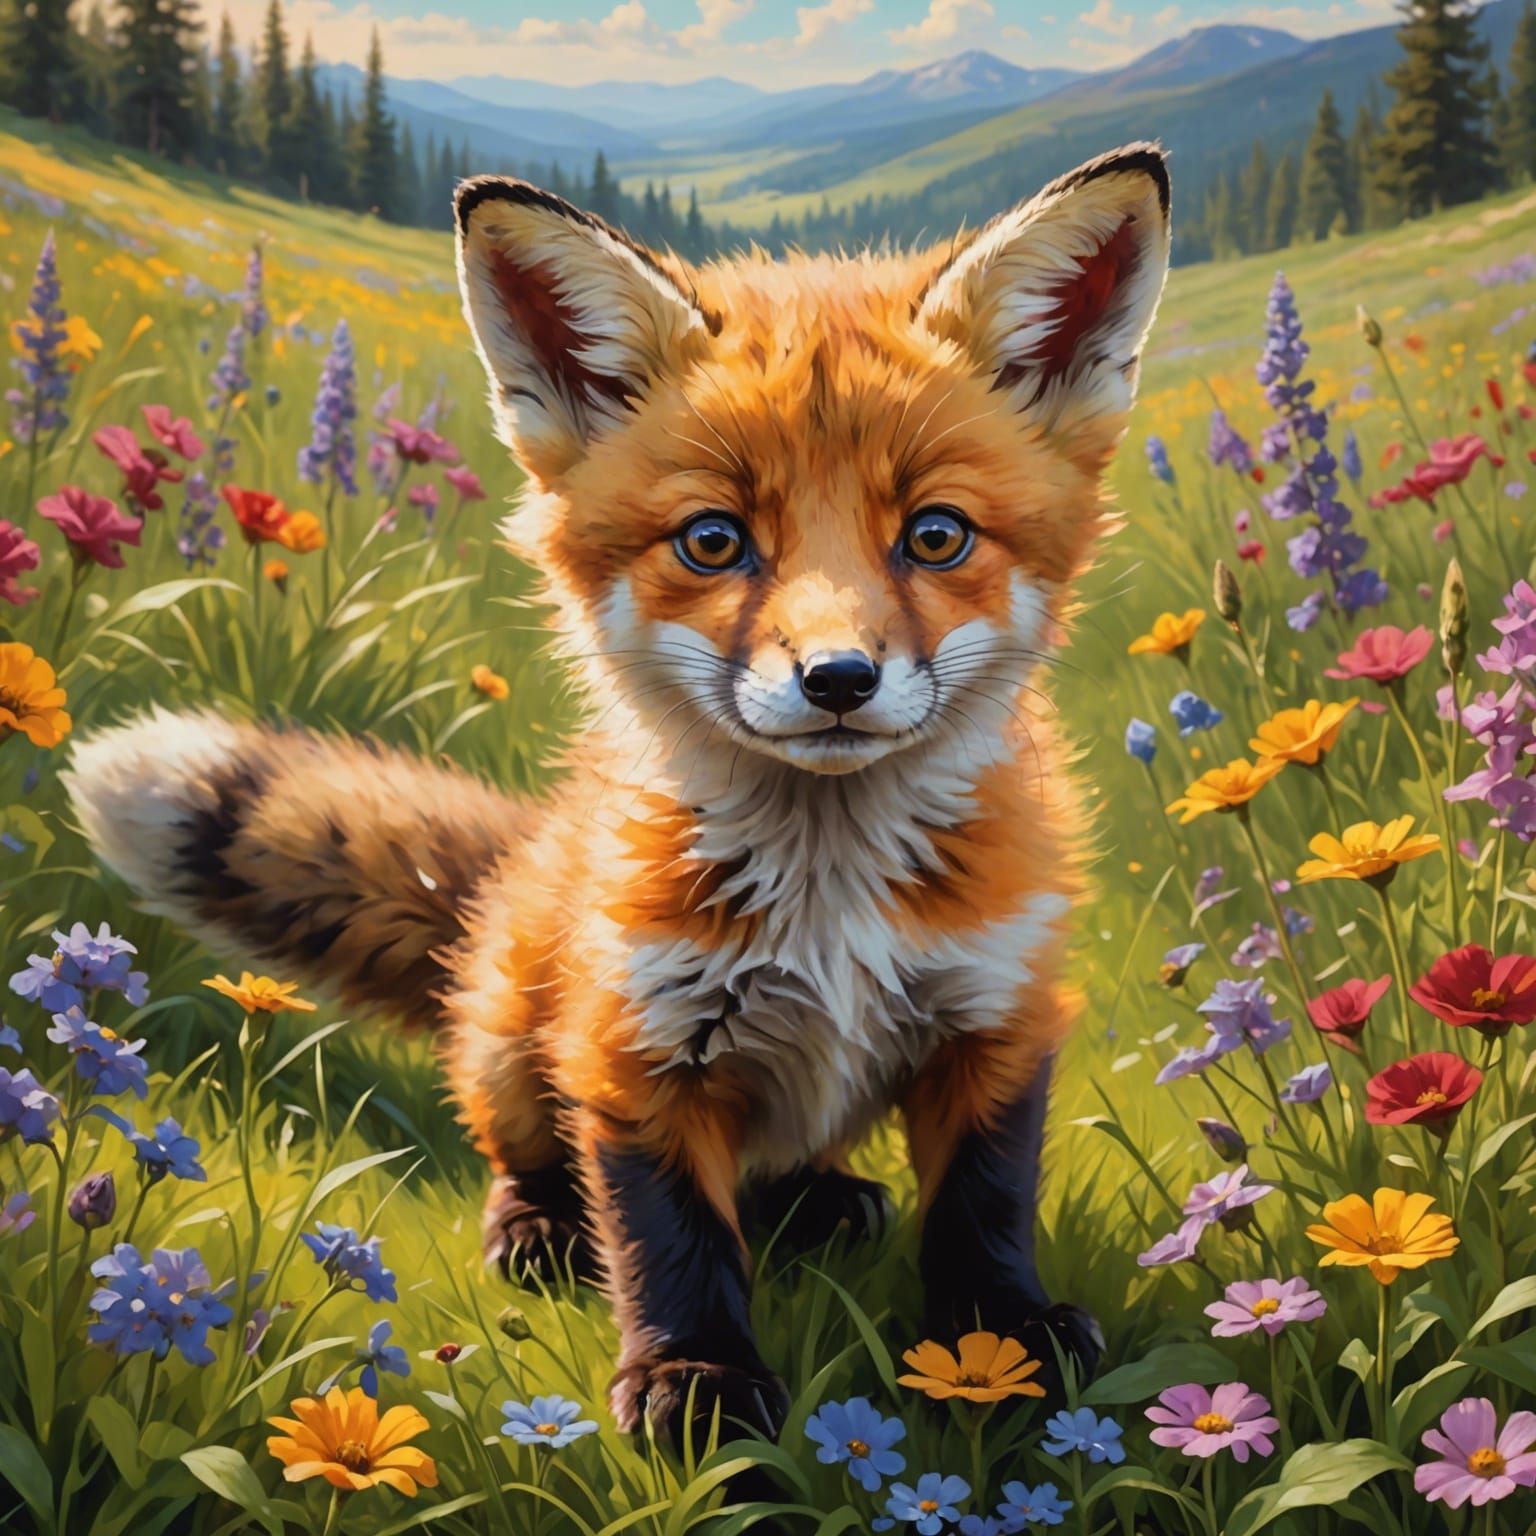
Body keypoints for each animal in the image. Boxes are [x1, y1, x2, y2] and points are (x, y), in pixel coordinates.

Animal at [65, 143, 1172, 1454]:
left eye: (937, 536)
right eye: (714, 541)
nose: (838, 679)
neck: (828, 901)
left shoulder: (996, 1018)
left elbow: (982, 1204)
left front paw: (999, 1343)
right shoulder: (633, 1043)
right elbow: (671, 1239)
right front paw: (698, 1384)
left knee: (792, 1182)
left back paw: (821, 1207)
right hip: (507, 1035)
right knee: (530, 1158)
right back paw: (542, 1230)